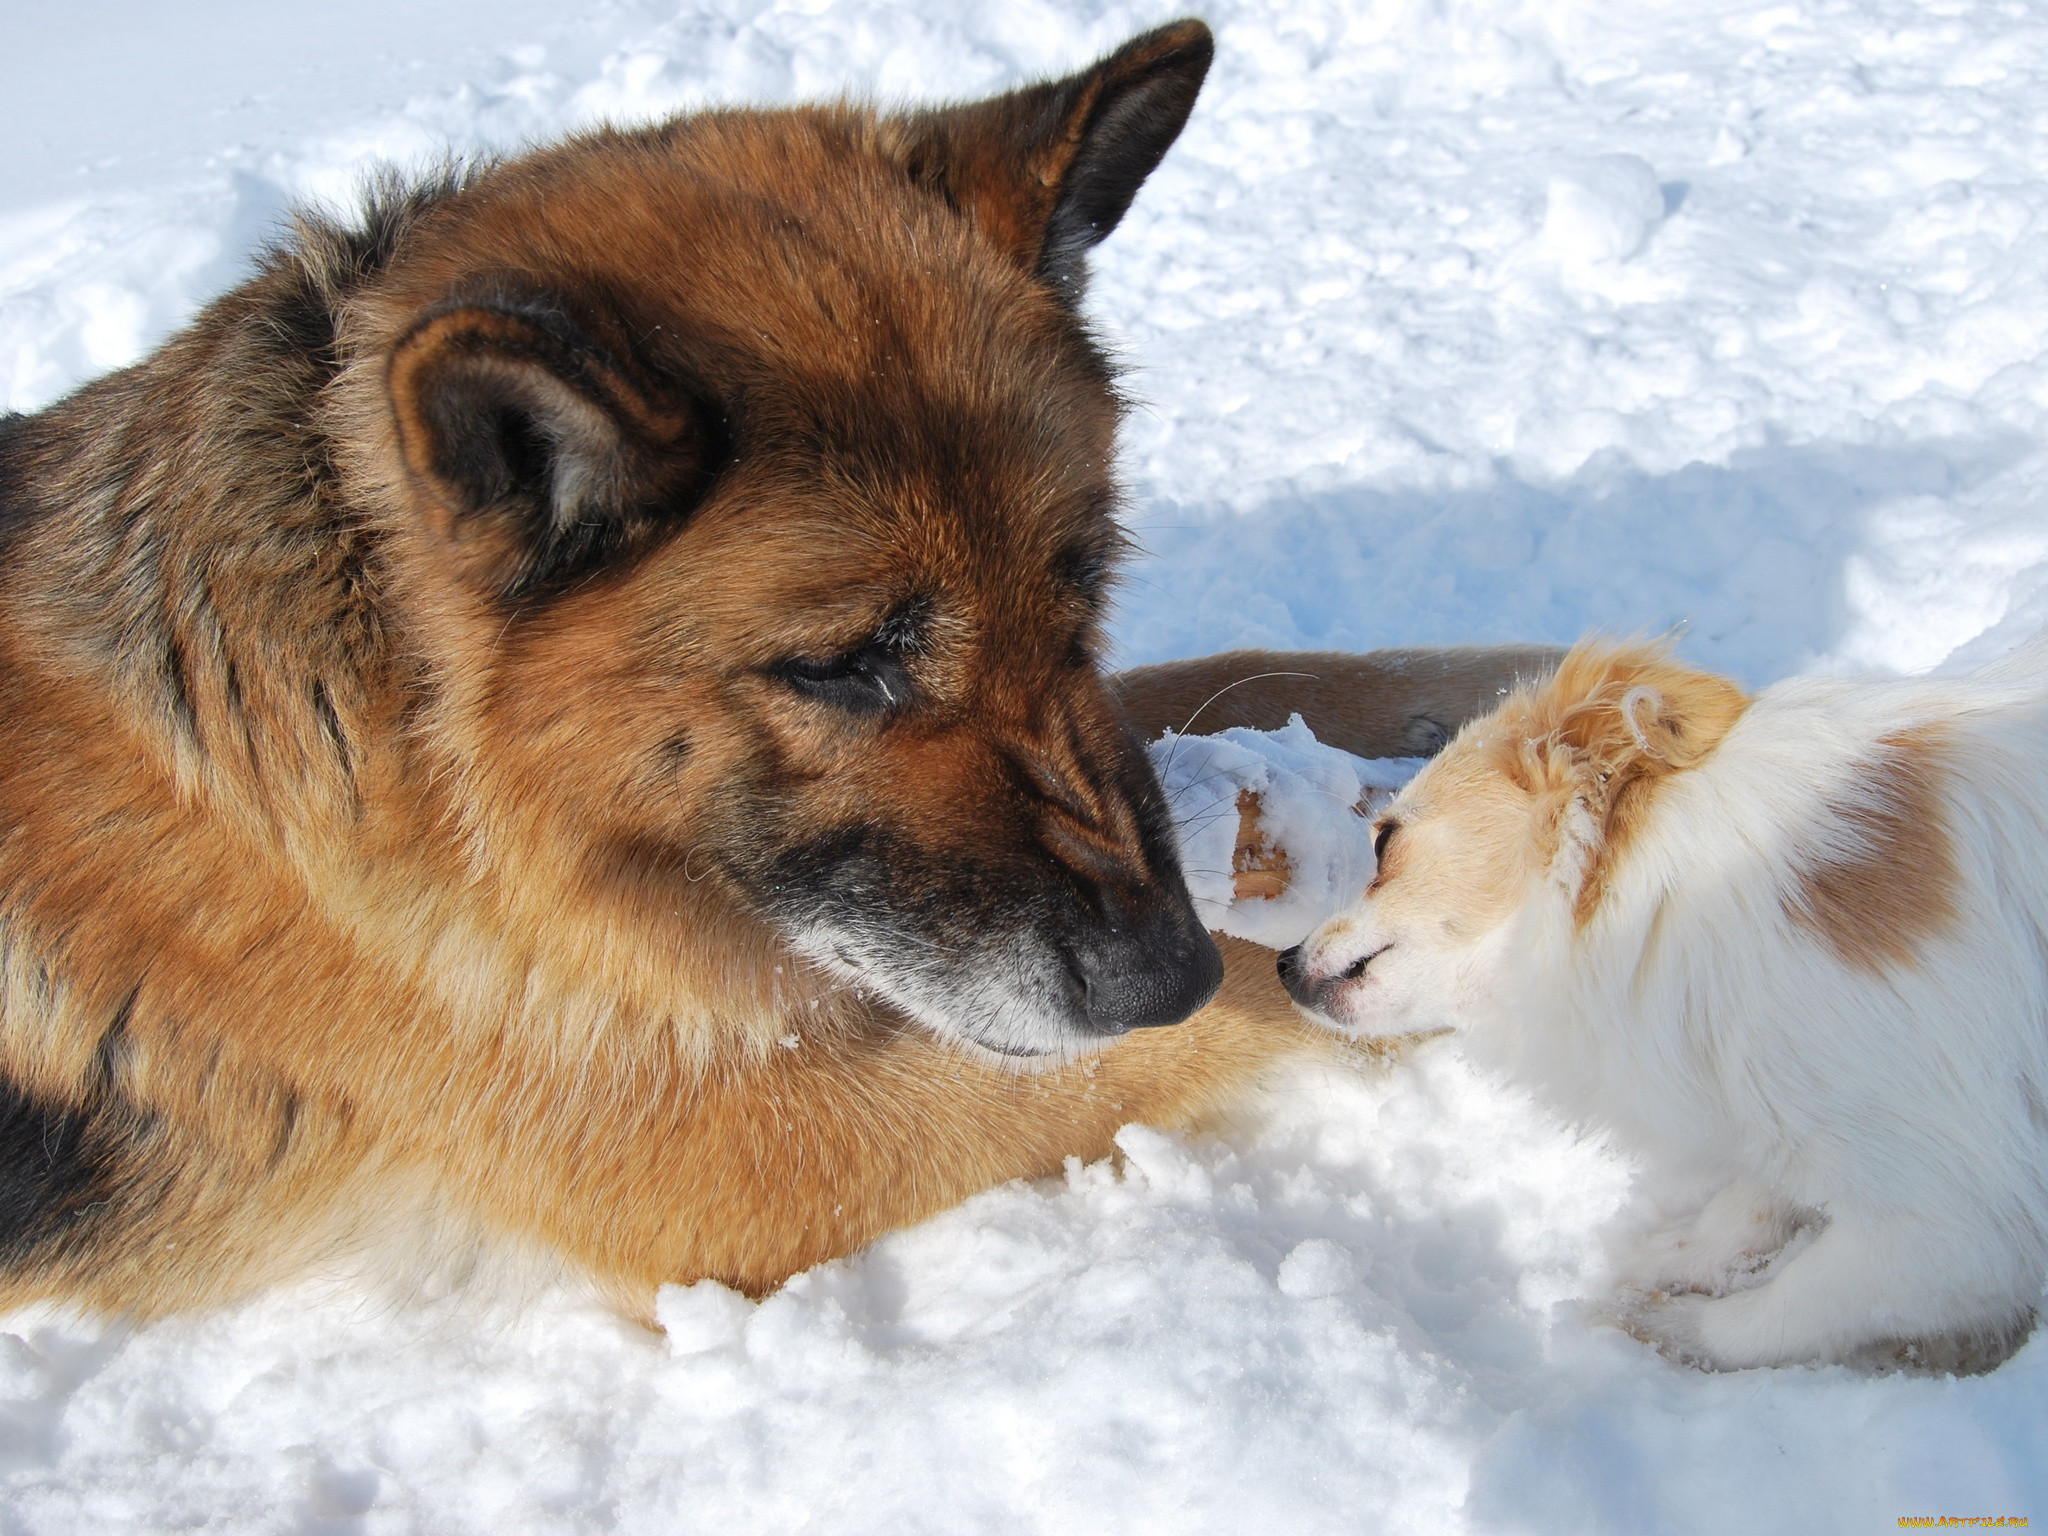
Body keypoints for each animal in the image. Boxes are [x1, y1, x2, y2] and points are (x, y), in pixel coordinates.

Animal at [0, 20, 1540, 1327]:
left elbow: (1250, 667)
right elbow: (1231, 1007)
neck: (433, 759)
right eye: (846, 668)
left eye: (1085, 582)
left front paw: (1511, 703)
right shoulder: (743, 1151)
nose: (1162, 967)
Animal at [1277, 630, 2048, 1376]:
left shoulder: (1955, 1227)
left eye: (1385, 839)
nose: (1282, 964)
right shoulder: (1783, 1112)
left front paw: (1662, 1328)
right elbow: (1748, 1207)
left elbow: (1783, 1312)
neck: (1672, 900)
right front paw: (1673, 1261)